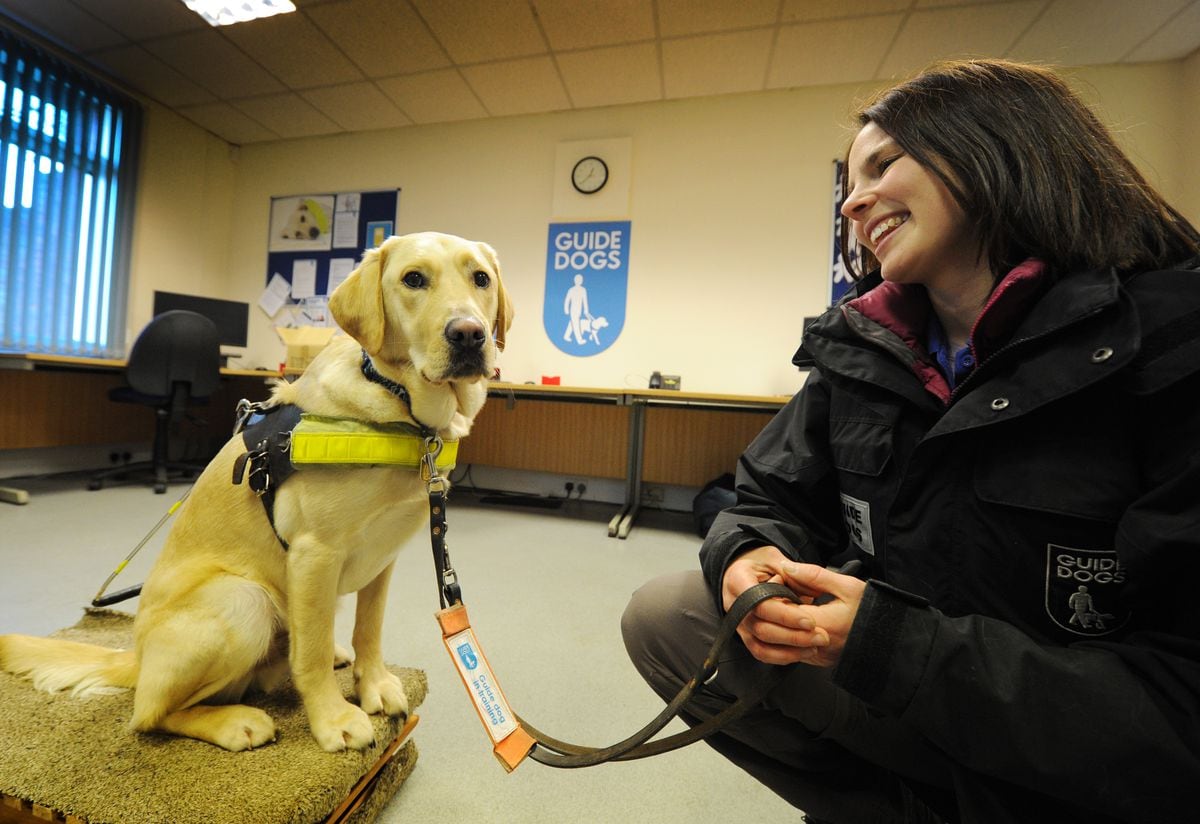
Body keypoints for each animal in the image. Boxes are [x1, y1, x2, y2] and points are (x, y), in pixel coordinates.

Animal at [0, 232, 511, 753]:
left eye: (481, 278)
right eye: (413, 279)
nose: (469, 334)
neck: (401, 405)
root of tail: (137, 657)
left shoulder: (382, 557)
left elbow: (369, 629)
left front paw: (373, 684)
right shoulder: (314, 554)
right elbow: (309, 656)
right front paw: (332, 719)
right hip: (245, 600)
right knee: (150, 713)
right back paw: (234, 722)